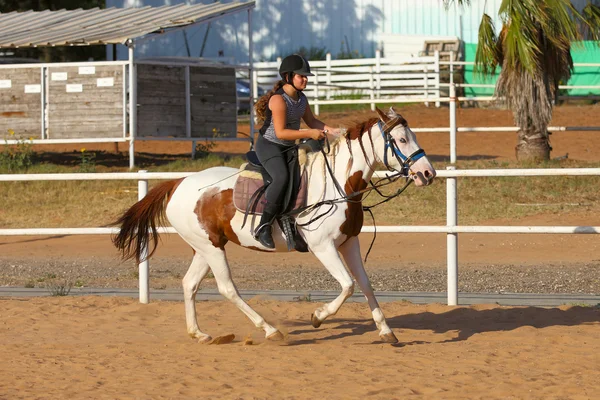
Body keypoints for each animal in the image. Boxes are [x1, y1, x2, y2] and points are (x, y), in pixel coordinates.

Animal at [112, 106, 434, 344]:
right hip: (211, 248)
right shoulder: (323, 247)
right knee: (227, 288)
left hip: (207, 247)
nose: (427, 173)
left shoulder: (348, 243)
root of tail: (179, 182)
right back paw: (270, 330)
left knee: (189, 284)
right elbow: (347, 286)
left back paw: (199, 334)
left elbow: (365, 285)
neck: (338, 184)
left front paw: (386, 331)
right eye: (401, 140)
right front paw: (318, 317)